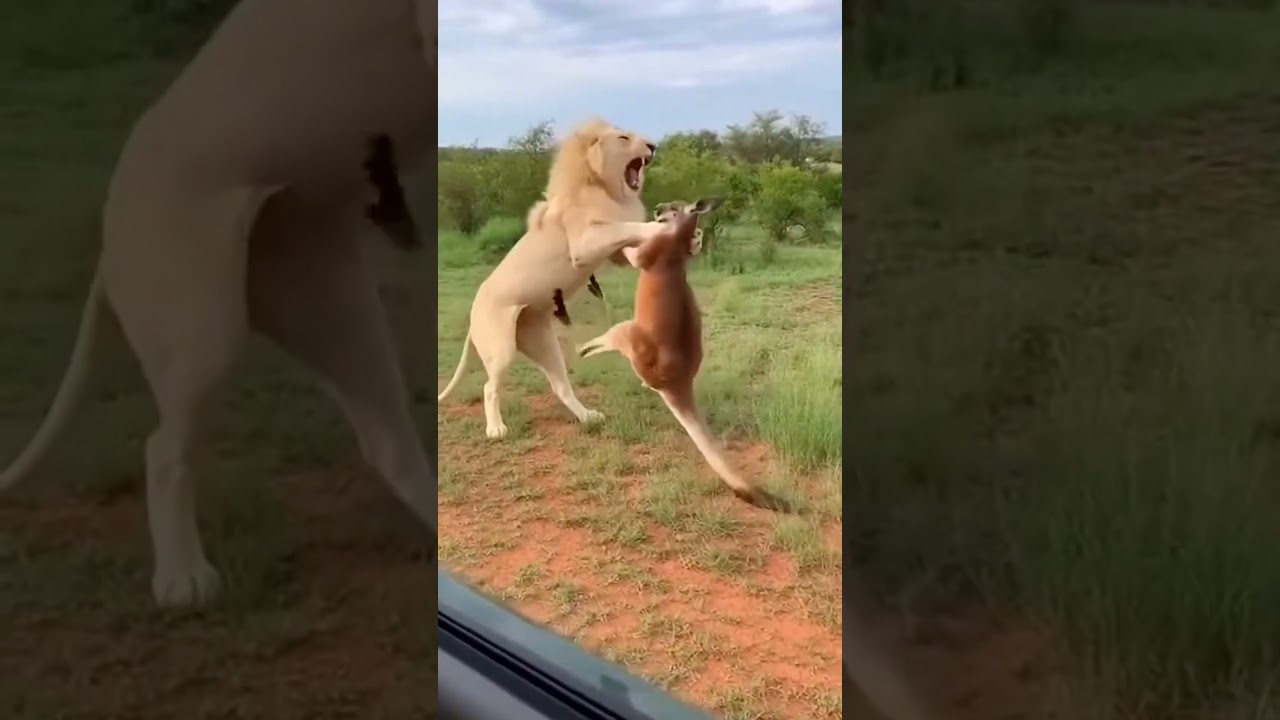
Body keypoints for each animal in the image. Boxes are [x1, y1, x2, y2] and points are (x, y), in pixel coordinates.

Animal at [0, 0, 436, 608]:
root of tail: (109, 246)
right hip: (202, 327)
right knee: (163, 451)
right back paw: (183, 580)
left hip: (338, 315)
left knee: (387, 442)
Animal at [437, 118, 672, 440]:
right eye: (624, 138)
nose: (653, 146)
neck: (602, 186)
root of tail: (473, 317)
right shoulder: (584, 244)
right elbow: (625, 226)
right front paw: (664, 226)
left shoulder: (615, 253)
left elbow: (629, 239)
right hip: (500, 348)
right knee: (489, 387)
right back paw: (496, 429)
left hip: (543, 343)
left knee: (560, 385)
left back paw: (589, 417)